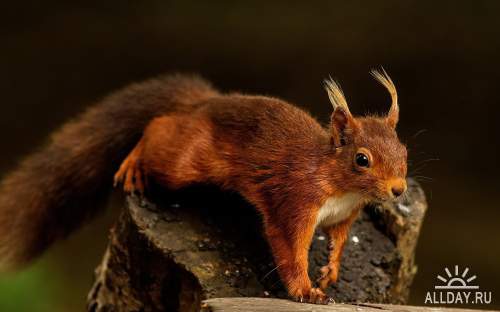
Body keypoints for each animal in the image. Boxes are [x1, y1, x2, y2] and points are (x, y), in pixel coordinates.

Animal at [0, 69, 406, 304]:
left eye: (404, 150)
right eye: (362, 159)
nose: (399, 190)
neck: (340, 185)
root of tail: (204, 103)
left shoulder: (344, 215)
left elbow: (338, 241)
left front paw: (331, 272)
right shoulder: (294, 201)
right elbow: (290, 250)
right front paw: (306, 290)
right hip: (183, 162)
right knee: (160, 126)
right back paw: (134, 162)